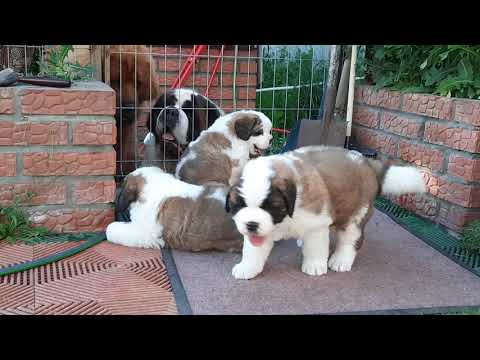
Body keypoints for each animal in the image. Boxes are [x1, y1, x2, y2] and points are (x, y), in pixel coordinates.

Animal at [225, 145, 428, 280]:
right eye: (239, 206)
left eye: (271, 206)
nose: (251, 224)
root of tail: (367, 163)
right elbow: (253, 251)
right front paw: (247, 268)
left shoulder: (317, 223)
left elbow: (316, 246)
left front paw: (314, 266)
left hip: (356, 215)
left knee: (350, 240)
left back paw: (341, 260)